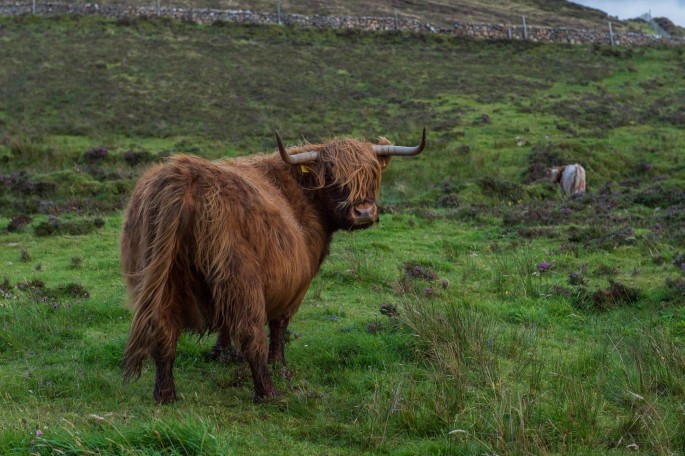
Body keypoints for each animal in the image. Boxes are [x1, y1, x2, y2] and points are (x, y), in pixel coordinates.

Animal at [120, 128, 424, 402]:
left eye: (372, 173)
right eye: (331, 176)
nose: (363, 212)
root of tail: (185, 176)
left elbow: (225, 323)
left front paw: (221, 354)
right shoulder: (296, 283)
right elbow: (279, 324)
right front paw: (279, 363)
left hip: (158, 279)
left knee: (163, 333)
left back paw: (165, 394)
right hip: (241, 278)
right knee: (251, 335)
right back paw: (268, 392)